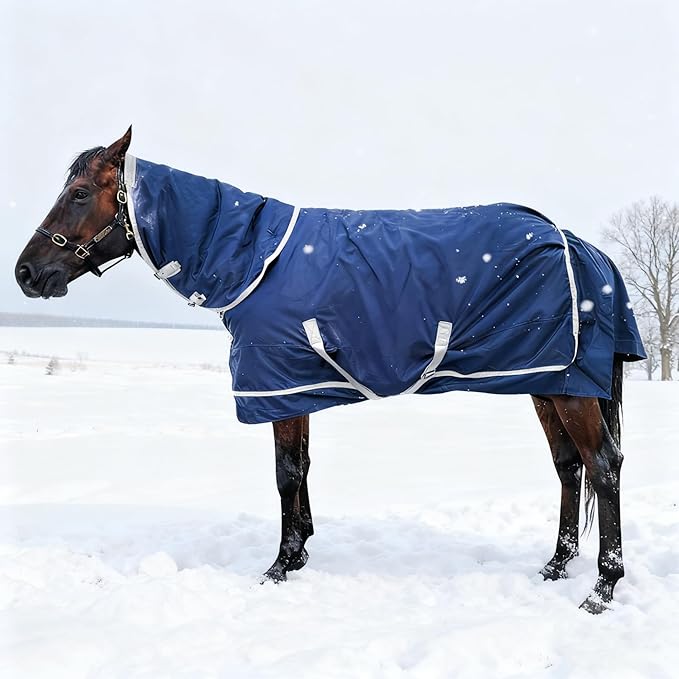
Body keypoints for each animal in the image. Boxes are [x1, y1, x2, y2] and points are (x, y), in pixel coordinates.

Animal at [15, 128, 645, 613]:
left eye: (78, 194)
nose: (26, 273)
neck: (249, 257)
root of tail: (583, 246)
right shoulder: (298, 387)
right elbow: (302, 469)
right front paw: (299, 553)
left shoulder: (277, 384)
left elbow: (286, 474)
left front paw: (277, 565)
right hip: (549, 383)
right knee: (569, 466)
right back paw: (556, 564)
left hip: (569, 389)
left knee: (603, 466)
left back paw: (602, 587)